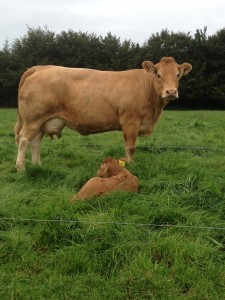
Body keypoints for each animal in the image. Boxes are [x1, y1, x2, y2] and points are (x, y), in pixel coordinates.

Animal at [14, 56, 192, 171]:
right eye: (158, 75)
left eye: (178, 75)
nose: (171, 91)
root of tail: (41, 67)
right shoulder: (130, 122)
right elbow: (131, 147)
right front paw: (131, 166)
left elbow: (127, 147)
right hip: (33, 119)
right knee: (23, 140)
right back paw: (21, 168)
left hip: (41, 122)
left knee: (35, 142)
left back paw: (37, 165)